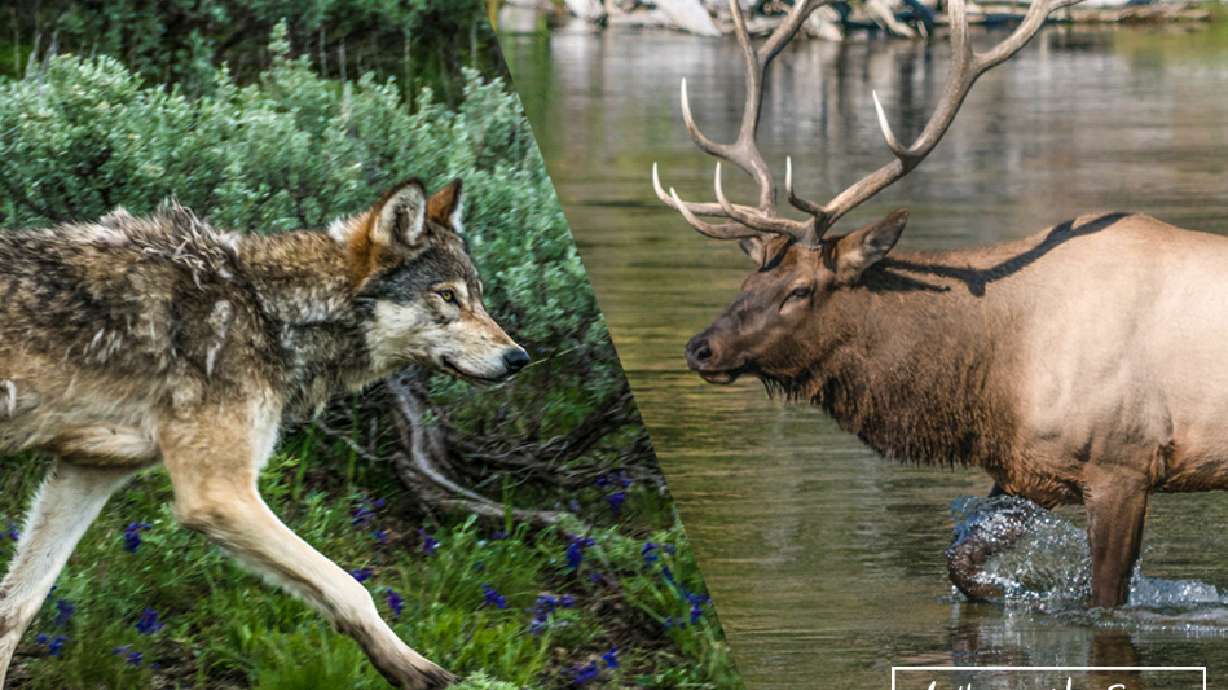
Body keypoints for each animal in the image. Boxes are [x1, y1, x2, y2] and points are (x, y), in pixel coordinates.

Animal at [0, 178, 528, 689]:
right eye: (448, 296)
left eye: (478, 296)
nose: (518, 358)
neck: (269, 311)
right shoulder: (218, 496)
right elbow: (351, 588)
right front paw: (416, 669)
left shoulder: (88, 471)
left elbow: (16, 608)